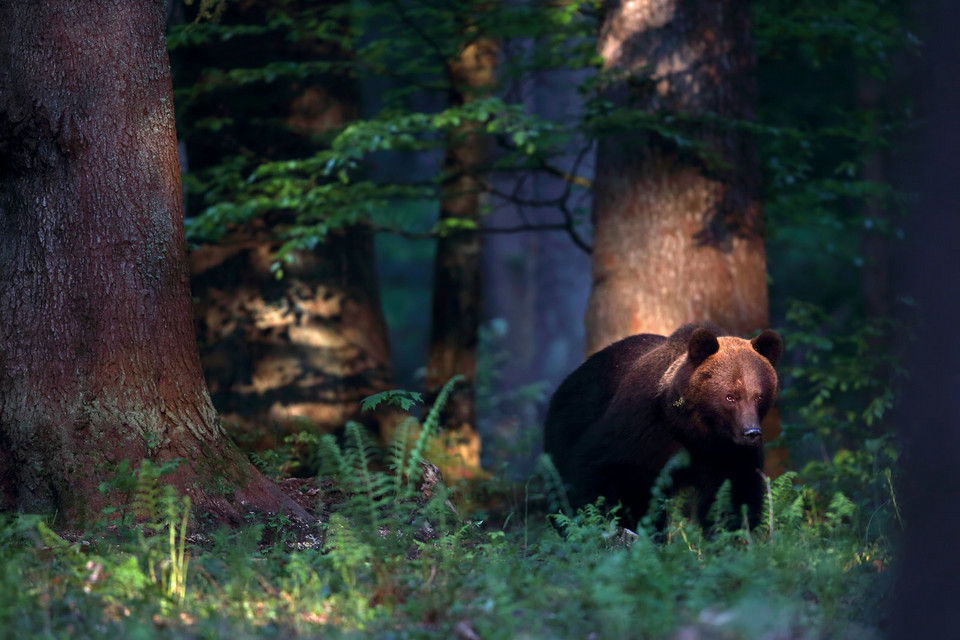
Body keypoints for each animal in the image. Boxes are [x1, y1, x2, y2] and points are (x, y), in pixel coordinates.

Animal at [540, 322, 780, 532]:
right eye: (730, 396)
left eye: (759, 395)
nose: (751, 432)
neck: (693, 430)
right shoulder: (638, 429)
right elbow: (593, 469)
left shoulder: (729, 454)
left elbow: (737, 494)